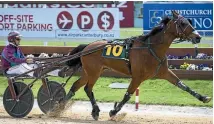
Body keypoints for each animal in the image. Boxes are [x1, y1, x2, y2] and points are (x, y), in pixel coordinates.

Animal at [58, 10, 211, 120]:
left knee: (76, 86)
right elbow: (127, 95)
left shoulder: (165, 72)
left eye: (190, 21)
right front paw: (113, 111)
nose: (198, 37)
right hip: (94, 72)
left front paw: (204, 97)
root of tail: (87, 46)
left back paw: (58, 106)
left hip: (91, 72)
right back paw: (94, 111)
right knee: (87, 88)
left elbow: (183, 85)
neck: (151, 48)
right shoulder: (137, 77)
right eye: (183, 23)